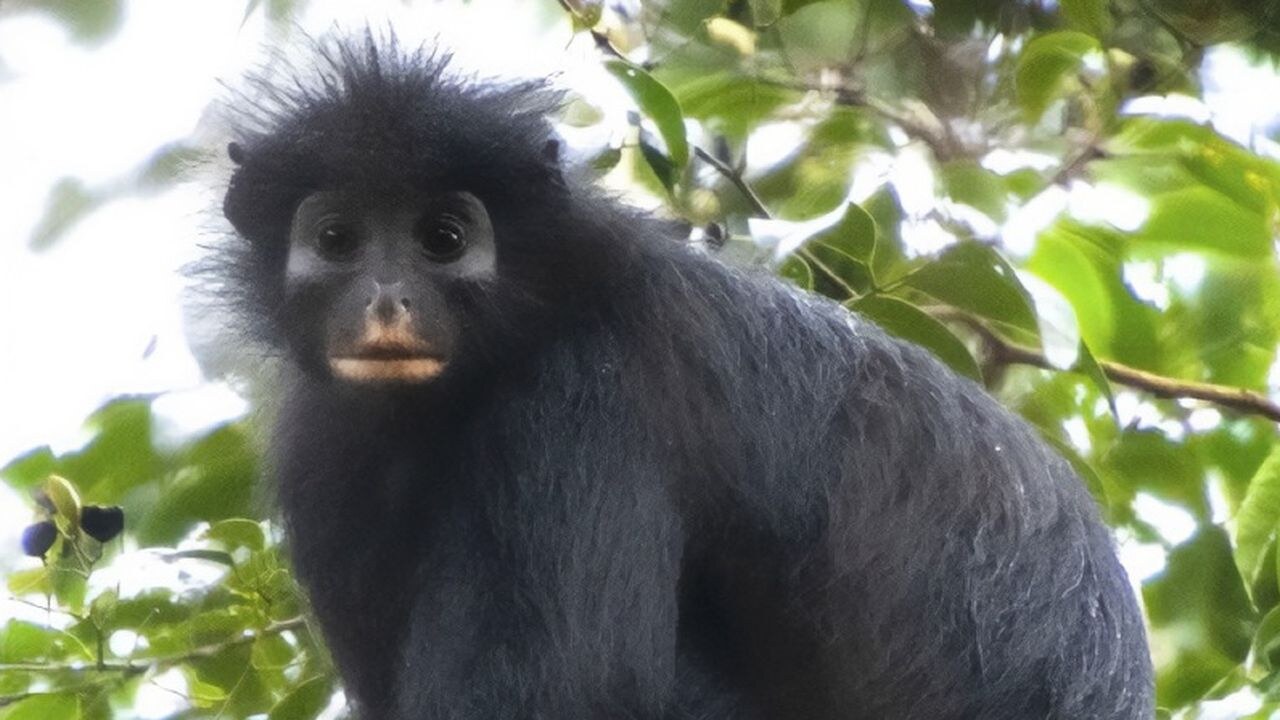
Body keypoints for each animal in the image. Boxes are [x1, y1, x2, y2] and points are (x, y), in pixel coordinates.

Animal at [212, 33, 1154, 720]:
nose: (386, 301)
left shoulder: (584, 395)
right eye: (338, 240)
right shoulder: (324, 449)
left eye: (442, 239)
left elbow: (566, 696)